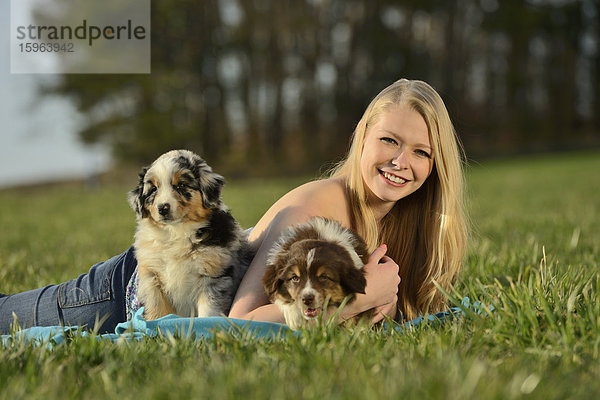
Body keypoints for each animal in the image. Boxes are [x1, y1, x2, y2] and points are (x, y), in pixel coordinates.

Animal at [129, 148, 251, 320]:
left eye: (181, 185)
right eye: (153, 190)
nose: (163, 208)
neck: (176, 232)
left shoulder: (213, 274)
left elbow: (208, 310)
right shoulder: (152, 278)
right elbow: (158, 311)